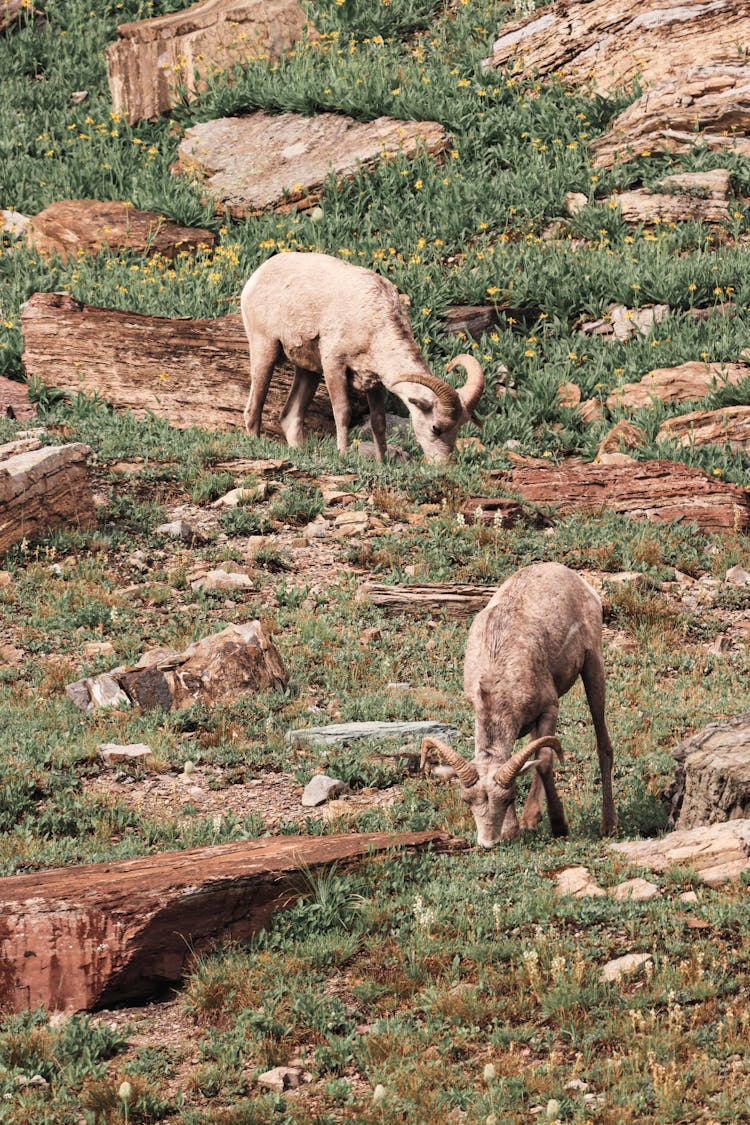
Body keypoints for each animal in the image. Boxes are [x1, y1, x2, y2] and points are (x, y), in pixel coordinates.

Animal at [240, 253, 488, 463]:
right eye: (436, 428)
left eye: (459, 427)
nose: (444, 464)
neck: (374, 321)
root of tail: (256, 277)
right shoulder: (334, 366)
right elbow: (343, 412)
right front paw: (342, 454)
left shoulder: (374, 383)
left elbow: (379, 422)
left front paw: (382, 462)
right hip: (265, 350)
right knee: (253, 409)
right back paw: (254, 443)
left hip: (308, 371)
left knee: (290, 417)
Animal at [420, 567, 620, 846]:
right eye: (466, 800)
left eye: (509, 797)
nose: (488, 842)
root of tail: (569, 574)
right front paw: (513, 828)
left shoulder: (549, 708)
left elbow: (544, 762)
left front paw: (557, 826)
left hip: (593, 667)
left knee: (603, 744)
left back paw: (608, 825)